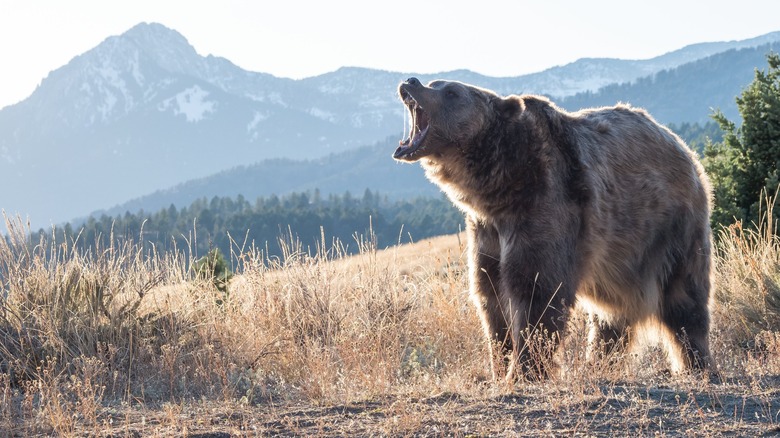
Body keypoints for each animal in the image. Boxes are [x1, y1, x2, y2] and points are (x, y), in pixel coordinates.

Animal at [394, 78, 716, 380]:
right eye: (435, 83)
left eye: (451, 91)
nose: (411, 81)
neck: (499, 188)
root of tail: (683, 147)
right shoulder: (486, 232)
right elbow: (490, 295)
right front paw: (500, 365)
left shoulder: (545, 204)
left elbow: (536, 290)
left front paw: (523, 371)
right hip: (620, 254)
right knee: (611, 313)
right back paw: (598, 361)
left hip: (670, 228)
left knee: (685, 299)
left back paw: (697, 363)